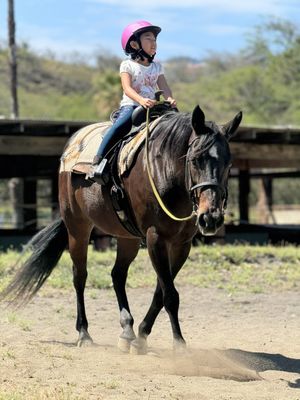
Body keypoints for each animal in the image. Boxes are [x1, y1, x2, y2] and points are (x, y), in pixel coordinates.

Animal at [1, 105, 241, 354]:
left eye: (229, 164)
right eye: (194, 160)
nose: (211, 218)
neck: (164, 170)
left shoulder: (181, 244)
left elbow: (160, 291)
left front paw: (141, 336)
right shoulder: (155, 238)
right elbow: (170, 295)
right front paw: (178, 343)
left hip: (127, 238)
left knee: (117, 274)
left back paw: (127, 331)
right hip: (78, 228)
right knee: (80, 277)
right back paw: (84, 333)